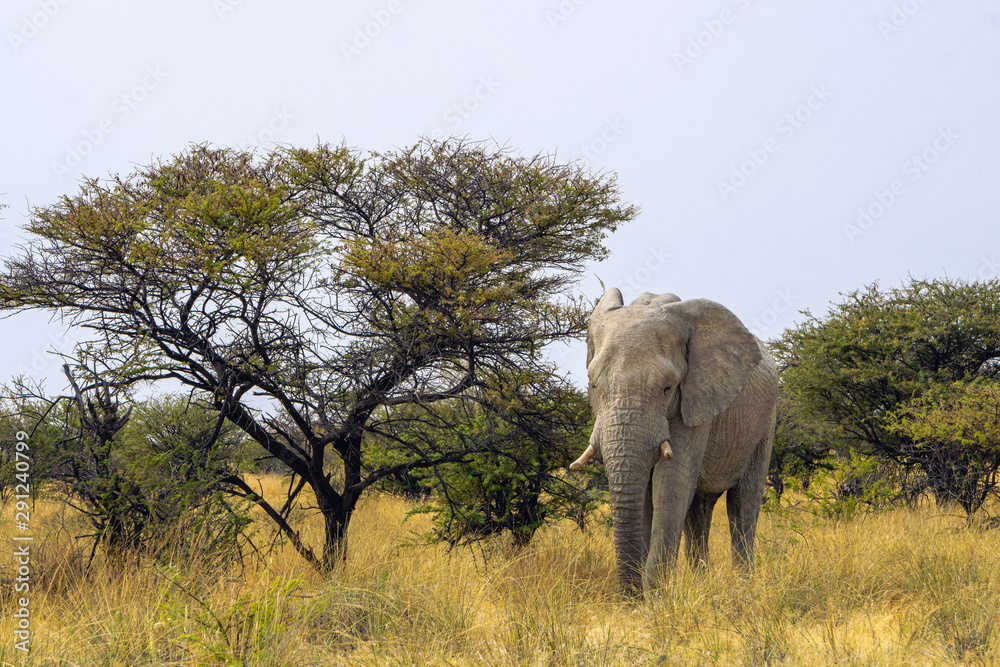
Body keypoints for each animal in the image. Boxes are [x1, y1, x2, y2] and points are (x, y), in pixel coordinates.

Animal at [569, 289, 778, 595]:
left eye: (667, 388)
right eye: (593, 385)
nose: (630, 595)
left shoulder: (696, 396)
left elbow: (670, 486)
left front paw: (655, 596)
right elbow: (648, 495)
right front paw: (645, 595)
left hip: (766, 421)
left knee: (743, 503)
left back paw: (744, 587)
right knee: (699, 511)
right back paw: (701, 580)